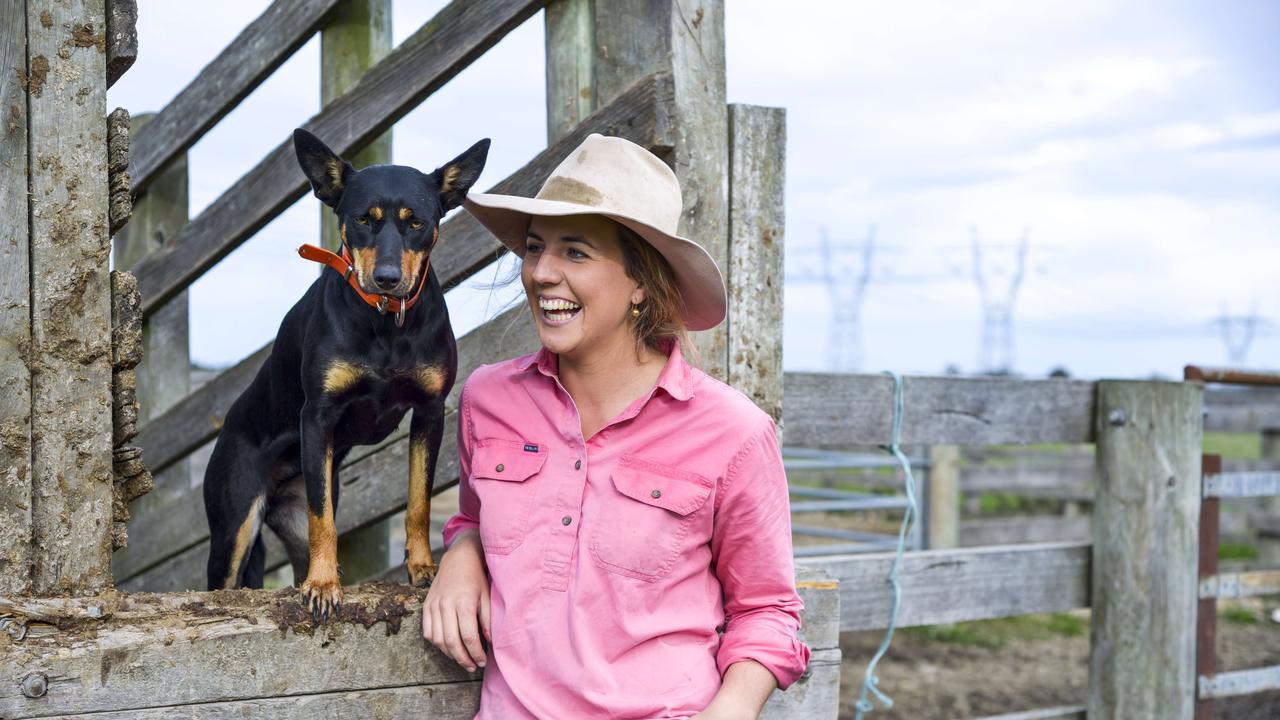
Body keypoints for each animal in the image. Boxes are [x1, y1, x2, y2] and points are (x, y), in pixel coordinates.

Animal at [202, 128, 486, 617]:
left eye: (417, 223)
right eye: (362, 220)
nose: (387, 278)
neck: (386, 321)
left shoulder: (430, 411)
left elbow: (418, 501)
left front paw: (423, 570)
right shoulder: (318, 416)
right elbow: (326, 521)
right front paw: (322, 586)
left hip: (294, 513)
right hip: (234, 523)